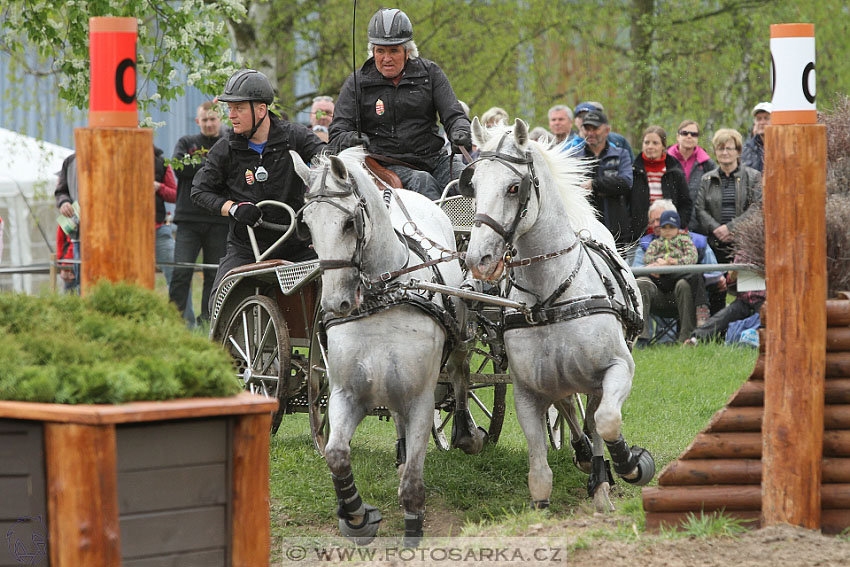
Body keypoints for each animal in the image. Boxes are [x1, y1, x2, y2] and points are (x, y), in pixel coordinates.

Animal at [290, 148, 476, 544]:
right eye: (307, 225)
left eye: (349, 224)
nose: (336, 304)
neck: (385, 297)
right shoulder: (346, 394)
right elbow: (336, 454)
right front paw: (358, 517)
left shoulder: (421, 399)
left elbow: (414, 483)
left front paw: (413, 529)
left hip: (460, 333)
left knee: (460, 374)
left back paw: (467, 433)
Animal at [460, 117, 652, 512]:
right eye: (474, 185)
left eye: (514, 187)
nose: (478, 259)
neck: (551, 296)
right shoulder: (527, 390)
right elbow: (539, 471)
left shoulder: (619, 367)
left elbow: (607, 421)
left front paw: (627, 464)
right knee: (568, 407)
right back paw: (583, 454)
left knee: (593, 414)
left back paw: (601, 475)